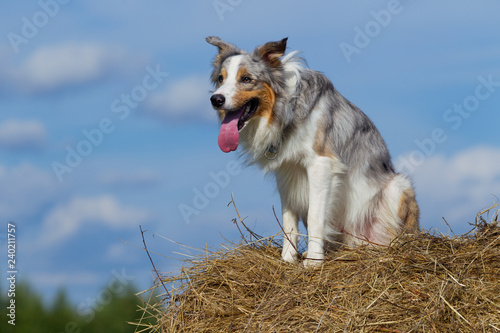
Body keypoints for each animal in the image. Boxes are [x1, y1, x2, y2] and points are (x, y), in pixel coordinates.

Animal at [205, 35, 420, 264]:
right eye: (220, 79)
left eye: (246, 79)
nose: (215, 99)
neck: (285, 110)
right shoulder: (286, 172)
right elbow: (289, 220)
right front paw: (288, 259)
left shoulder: (321, 164)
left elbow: (315, 215)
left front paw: (313, 261)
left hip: (398, 185)